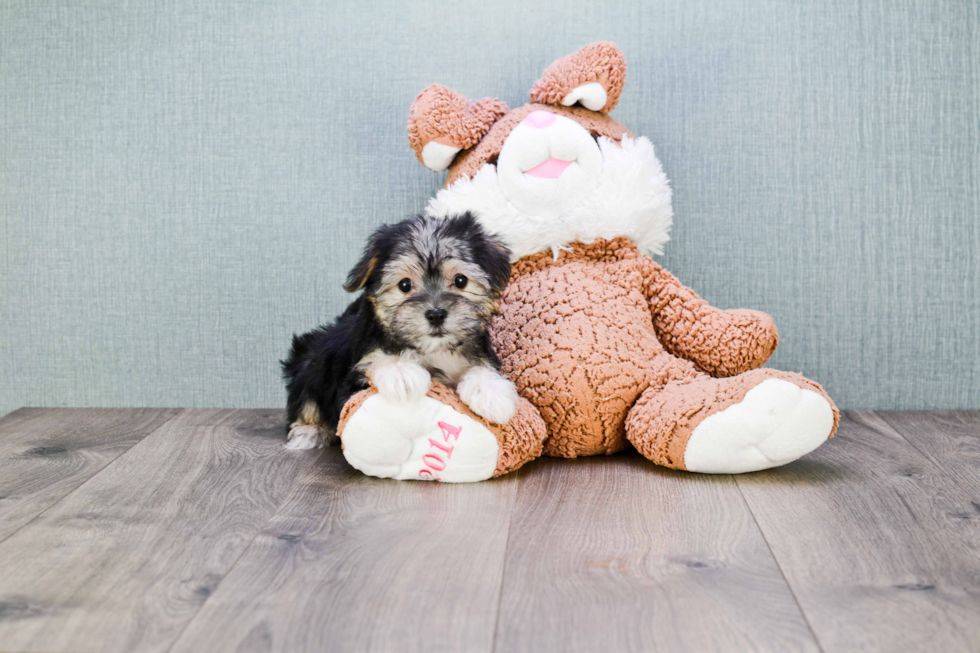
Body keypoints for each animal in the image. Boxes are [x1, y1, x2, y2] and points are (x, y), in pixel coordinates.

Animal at [282, 214, 516, 448]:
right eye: (404, 285)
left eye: (460, 280)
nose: (436, 314)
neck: (435, 350)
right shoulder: (350, 386)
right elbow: (378, 360)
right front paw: (401, 371)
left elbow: (481, 366)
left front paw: (490, 392)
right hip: (311, 360)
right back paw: (309, 431)